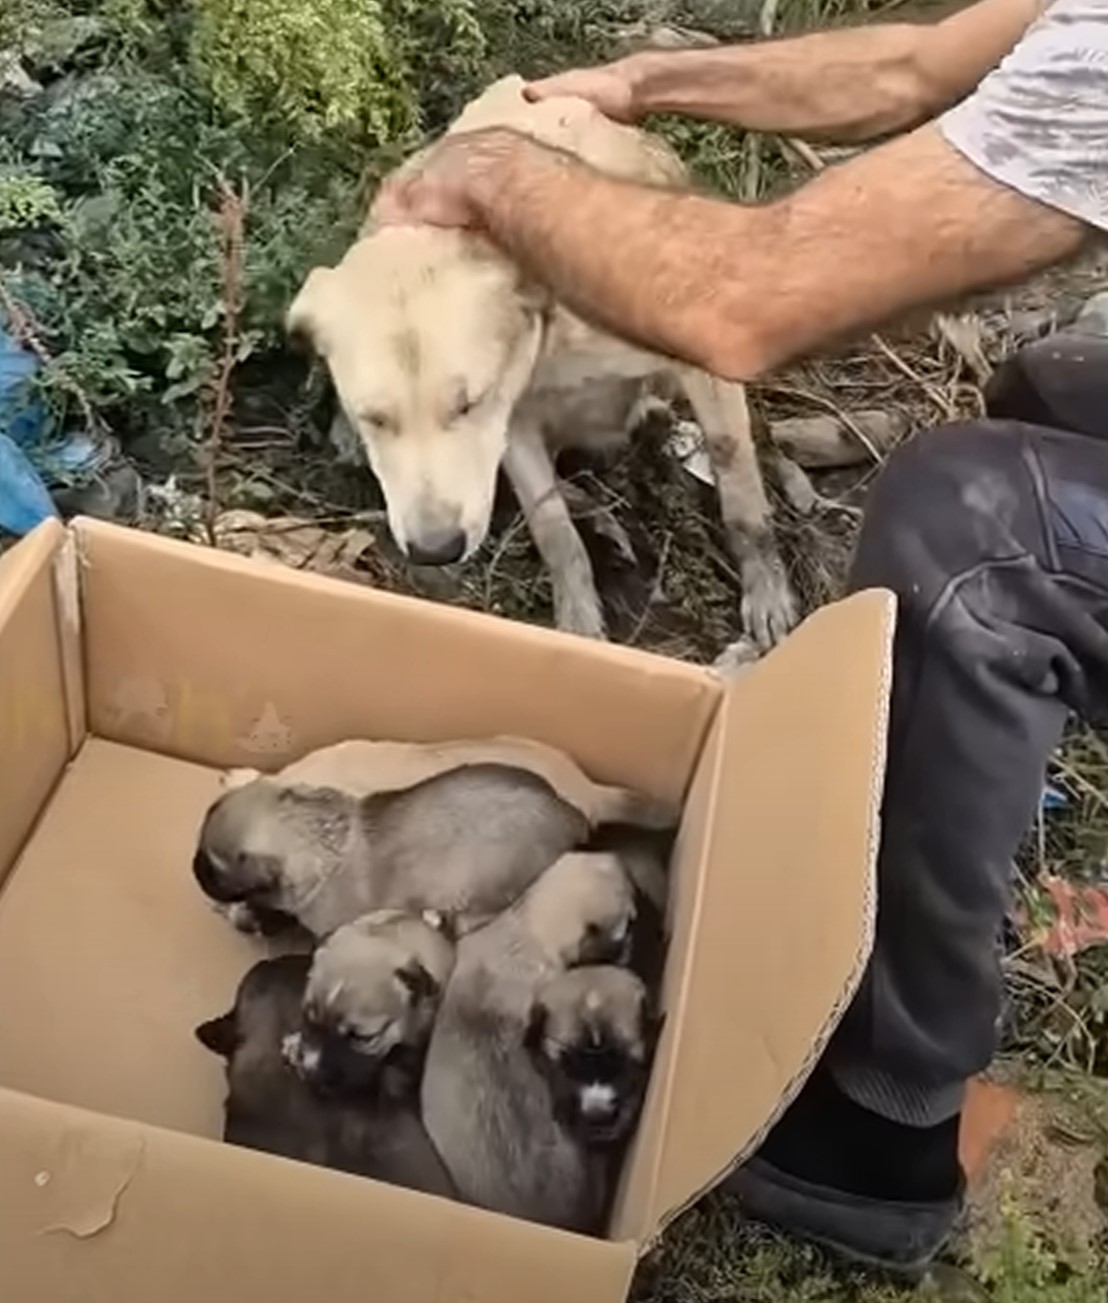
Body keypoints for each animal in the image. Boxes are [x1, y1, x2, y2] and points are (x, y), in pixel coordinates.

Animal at [285, 72, 792, 651]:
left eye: (469, 404)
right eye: (375, 417)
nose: (435, 550)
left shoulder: (708, 360)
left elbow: (739, 485)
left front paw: (767, 589)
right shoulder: (515, 423)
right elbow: (553, 530)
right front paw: (577, 626)